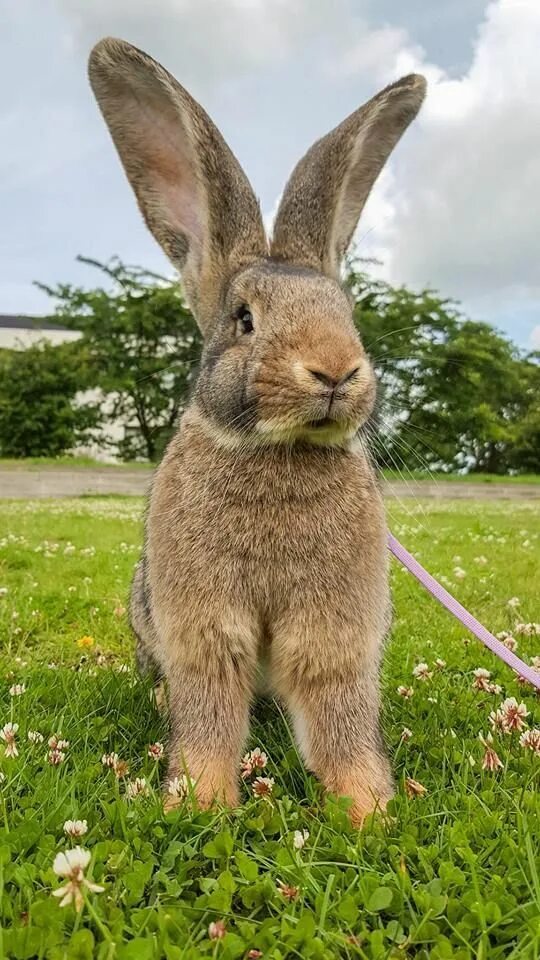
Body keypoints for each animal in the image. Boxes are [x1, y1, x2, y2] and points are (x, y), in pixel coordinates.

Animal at [88, 37, 426, 824]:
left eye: (347, 313)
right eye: (245, 319)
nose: (335, 369)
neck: (280, 449)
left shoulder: (336, 631)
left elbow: (338, 717)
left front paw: (369, 809)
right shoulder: (203, 626)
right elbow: (210, 711)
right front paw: (200, 802)